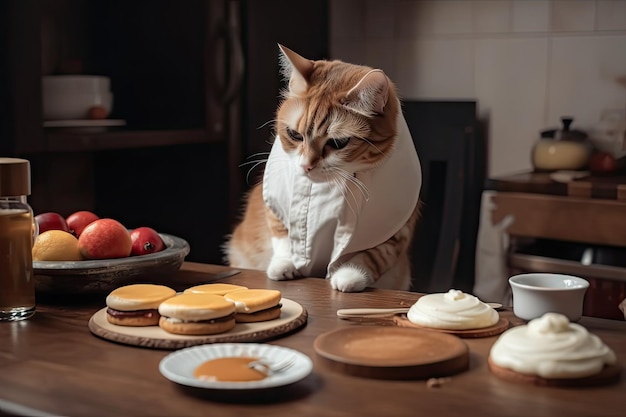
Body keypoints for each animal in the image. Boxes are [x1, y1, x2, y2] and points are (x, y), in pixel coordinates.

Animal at [222, 44, 422, 292]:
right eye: (294, 134)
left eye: (338, 143)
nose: (306, 165)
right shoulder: (275, 203)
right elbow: (283, 235)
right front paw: (285, 263)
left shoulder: (394, 226)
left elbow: (374, 254)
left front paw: (350, 275)